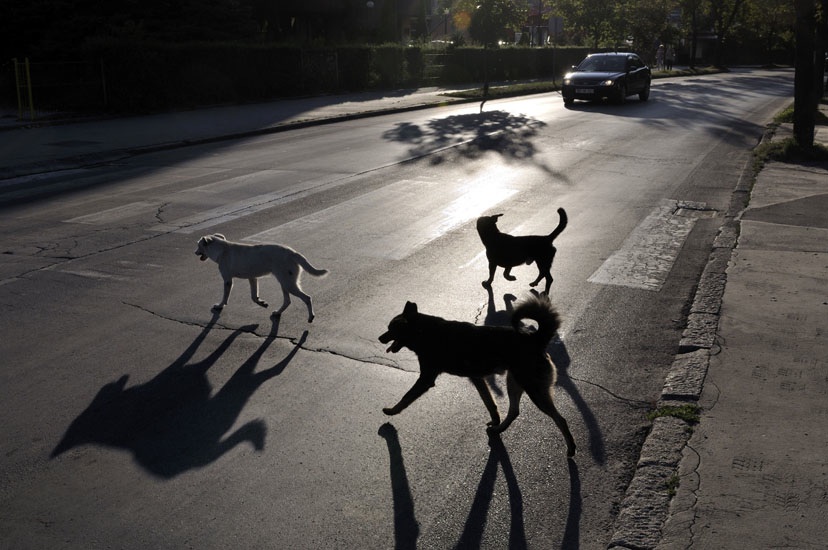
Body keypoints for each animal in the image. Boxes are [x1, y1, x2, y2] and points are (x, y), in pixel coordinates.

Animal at [196, 234, 328, 324]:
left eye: (198, 245)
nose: (195, 252)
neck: (222, 250)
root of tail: (293, 253)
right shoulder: (252, 278)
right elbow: (254, 296)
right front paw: (261, 302)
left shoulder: (228, 280)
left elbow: (225, 297)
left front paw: (220, 306)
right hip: (285, 283)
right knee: (287, 301)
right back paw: (278, 313)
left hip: (289, 284)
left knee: (307, 298)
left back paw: (311, 316)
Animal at [376, 296, 576, 460]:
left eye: (391, 329)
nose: (380, 338)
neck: (423, 331)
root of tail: (536, 340)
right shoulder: (477, 378)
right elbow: (490, 403)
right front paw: (495, 420)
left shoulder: (426, 378)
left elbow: (406, 397)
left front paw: (392, 410)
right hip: (515, 382)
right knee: (514, 411)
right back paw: (498, 429)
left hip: (533, 389)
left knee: (560, 419)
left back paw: (571, 448)